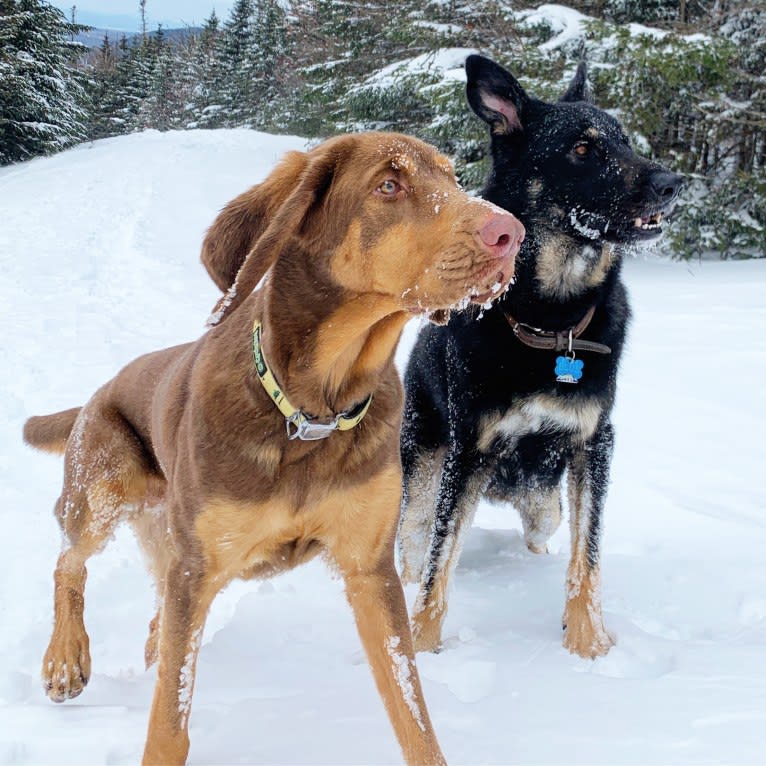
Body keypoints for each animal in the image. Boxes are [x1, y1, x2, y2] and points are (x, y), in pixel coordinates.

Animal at [25, 129, 528, 764]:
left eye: (454, 178)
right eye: (389, 185)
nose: (512, 234)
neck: (314, 410)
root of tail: (99, 390)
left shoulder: (370, 567)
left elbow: (411, 709)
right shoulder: (198, 568)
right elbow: (169, 721)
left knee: (152, 614)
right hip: (103, 486)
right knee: (68, 561)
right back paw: (64, 659)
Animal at [400, 55, 680, 660]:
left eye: (625, 141)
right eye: (582, 148)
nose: (673, 184)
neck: (551, 323)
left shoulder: (593, 444)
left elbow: (586, 556)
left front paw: (587, 643)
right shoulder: (468, 453)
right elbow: (438, 564)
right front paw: (422, 650)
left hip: (542, 497)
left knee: (542, 527)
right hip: (424, 462)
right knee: (413, 539)